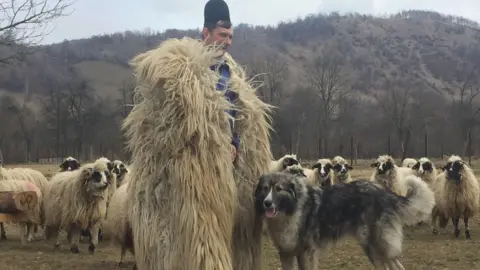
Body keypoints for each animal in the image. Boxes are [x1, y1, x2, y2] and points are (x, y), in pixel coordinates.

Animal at [256, 172, 436, 268]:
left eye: (278, 189)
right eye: (265, 189)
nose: (267, 203)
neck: (291, 209)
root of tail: (385, 193)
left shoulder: (306, 253)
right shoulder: (286, 254)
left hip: (377, 244)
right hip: (372, 247)